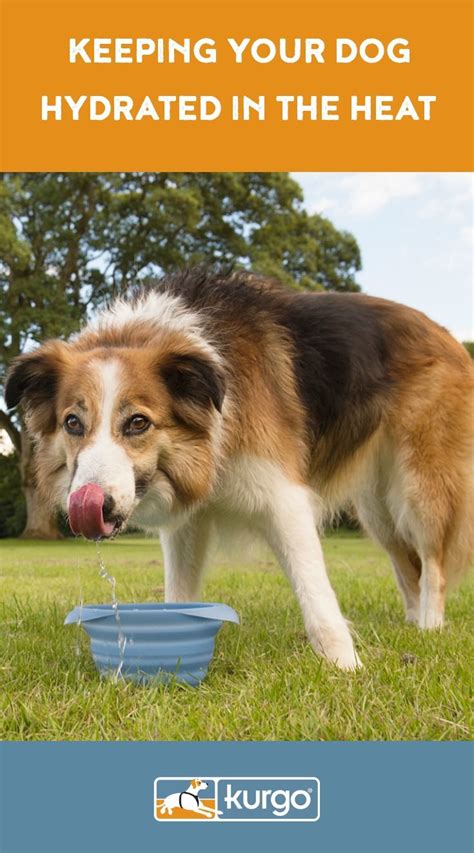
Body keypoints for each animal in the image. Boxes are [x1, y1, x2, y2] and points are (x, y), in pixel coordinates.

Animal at [4, 270, 474, 668]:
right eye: (73, 423)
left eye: (138, 422)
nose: (92, 505)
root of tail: (448, 337)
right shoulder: (188, 523)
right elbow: (179, 594)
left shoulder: (284, 499)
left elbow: (315, 591)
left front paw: (346, 666)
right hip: (377, 506)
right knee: (406, 565)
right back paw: (411, 625)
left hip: (418, 487)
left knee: (432, 563)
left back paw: (430, 628)